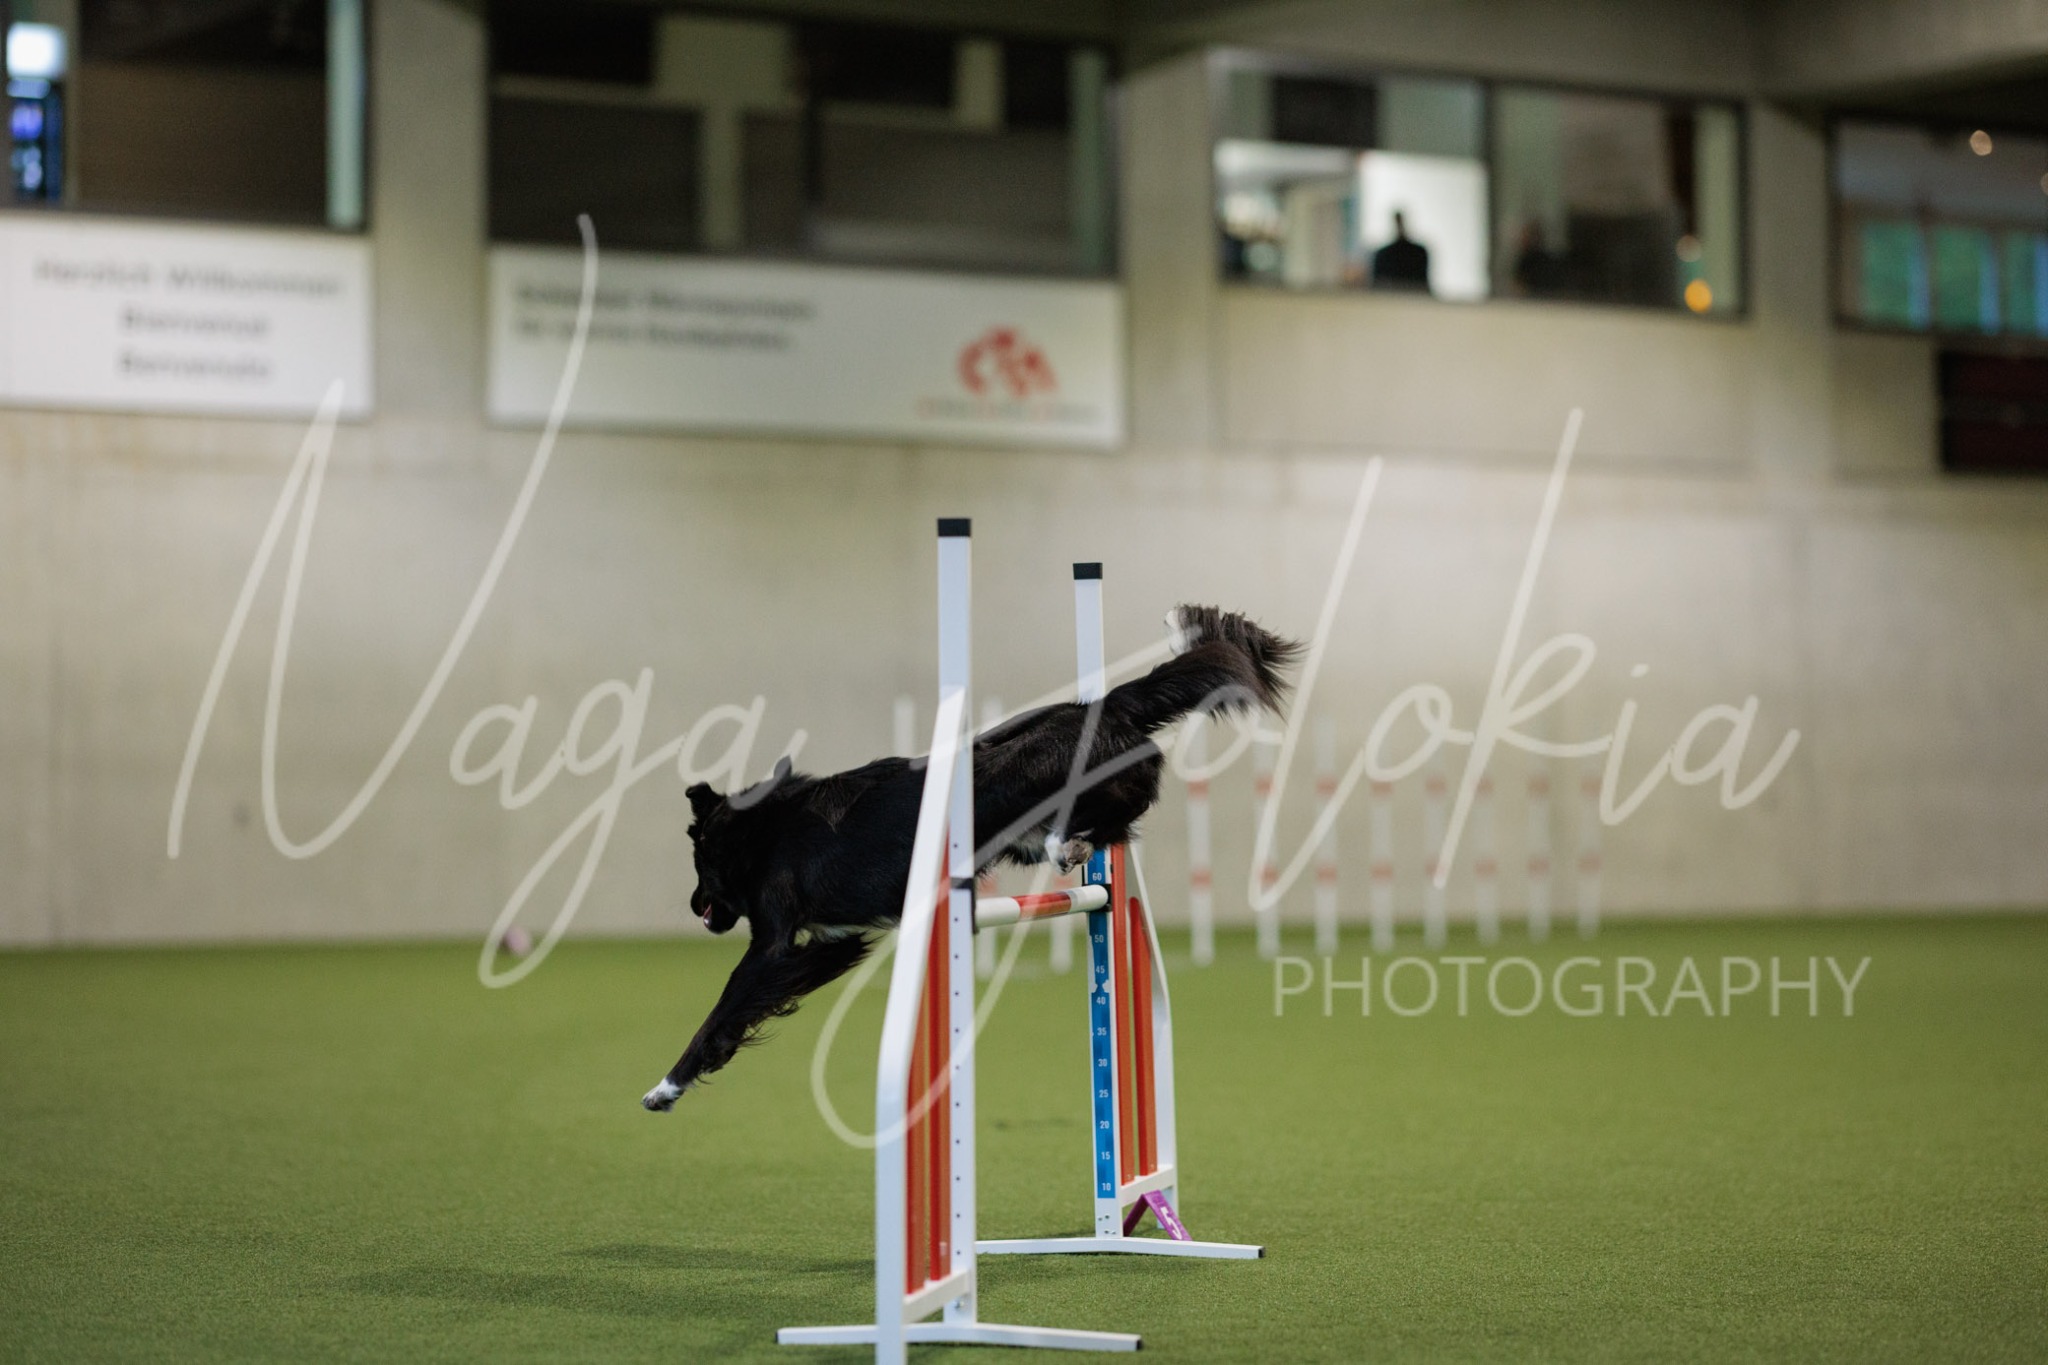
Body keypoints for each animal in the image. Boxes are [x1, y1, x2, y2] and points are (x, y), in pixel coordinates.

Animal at [641, 605, 1300, 1111]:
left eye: (698, 865)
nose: (695, 906)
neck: (763, 830)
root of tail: (1104, 704)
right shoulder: (833, 938)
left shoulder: (772, 940)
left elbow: (724, 1005)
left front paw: (666, 1086)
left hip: (1034, 779)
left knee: (1125, 800)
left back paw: (1069, 842)